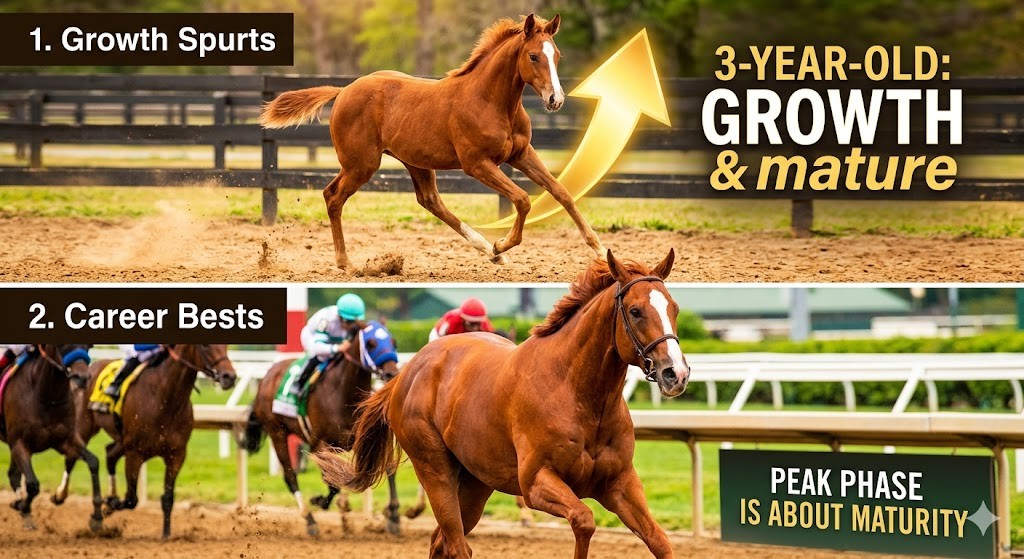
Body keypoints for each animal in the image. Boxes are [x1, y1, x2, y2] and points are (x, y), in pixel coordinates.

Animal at [0, 344, 103, 532]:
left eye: (88, 346)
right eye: (62, 346)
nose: (82, 378)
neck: (47, 395)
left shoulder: (66, 440)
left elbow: (93, 461)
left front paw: (97, 516)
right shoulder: (19, 442)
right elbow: (32, 484)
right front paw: (24, 508)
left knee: (13, 474)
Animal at [71, 344, 237, 539]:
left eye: (226, 346)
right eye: (205, 346)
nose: (229, 376)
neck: (165, 400)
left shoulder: (176, 455)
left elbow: (167, 498)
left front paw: (166, 534)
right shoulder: (135, 453)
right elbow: (131, 499)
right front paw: (110, 505)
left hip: (122, 441)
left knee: (110, 453)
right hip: (85, 426)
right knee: (76, 456)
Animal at [244, 322, 402, 536]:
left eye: (393, 341)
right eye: (370, 343)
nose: (392, 373)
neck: (343, 393)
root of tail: (267, 376)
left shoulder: (365, 438)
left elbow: (389, 468)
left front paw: (393, 516)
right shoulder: (319, 444)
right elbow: (333, 482)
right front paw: (320, 501)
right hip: (277, 432)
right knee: (290, 476)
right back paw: (310, 520)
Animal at [259, 14, 606, 270]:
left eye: (556, 55)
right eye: (533, 56)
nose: (555, 100)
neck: (490, 101)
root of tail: (343, 91)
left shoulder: (521, 154)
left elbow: (562, 192)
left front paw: (601, 249)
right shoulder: (477, 164)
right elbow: (522, 199)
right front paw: (502, 244)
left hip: (414, 161)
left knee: (429, 201)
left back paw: (486, 250)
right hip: (362, 164)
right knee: (333, 196)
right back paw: (346, 263)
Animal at [316, 250, 690, 559]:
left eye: (674, 308)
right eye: (636, 311)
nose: (677, 373)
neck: (580, 396)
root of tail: (407, 372)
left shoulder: (620, 483)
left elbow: (659, 540)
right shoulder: (536, 482)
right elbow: (584, 520)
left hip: (475, 481)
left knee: (441, 543)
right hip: (434, 467)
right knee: (457, 545)